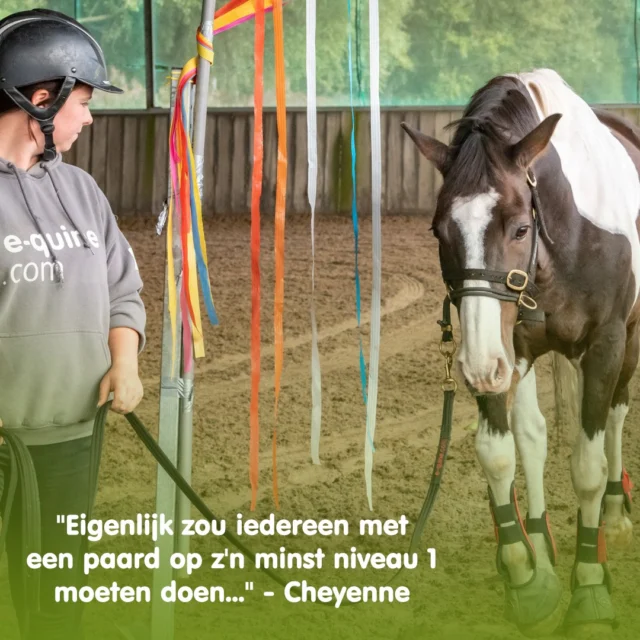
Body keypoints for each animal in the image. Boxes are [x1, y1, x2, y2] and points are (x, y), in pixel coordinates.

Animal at [402, 68, 640, 637]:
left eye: (520, 228)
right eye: (439, 231)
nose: (475, 367)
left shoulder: (606, 345)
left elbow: (588, 464)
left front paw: (590, 586)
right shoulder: (502, 348)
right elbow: (501, 451)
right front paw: (527, 576)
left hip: (628, 343)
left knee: (617, 415)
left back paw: (614, 517)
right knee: (533, 435)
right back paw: (542, 544)